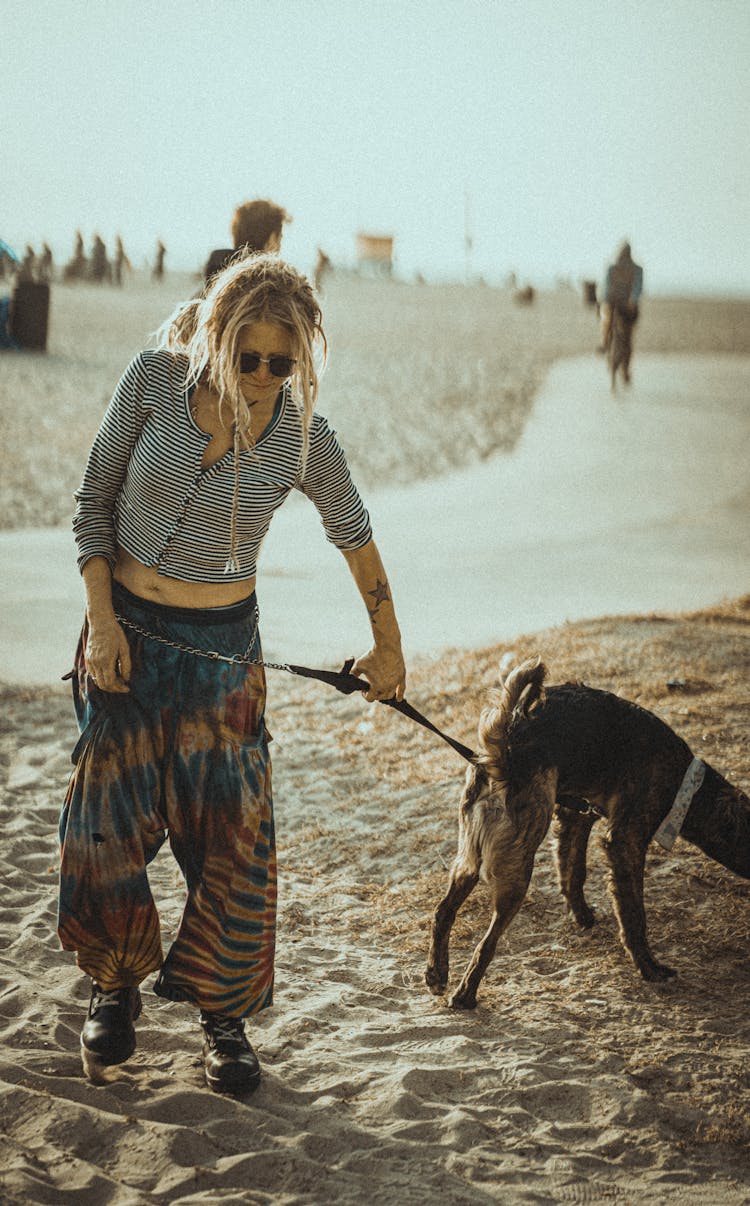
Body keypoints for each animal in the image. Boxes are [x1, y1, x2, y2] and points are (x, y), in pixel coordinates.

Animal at [426, 660, 747, 1008]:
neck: (686, 782)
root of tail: (505, 752)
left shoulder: (575, 817)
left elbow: (572, 872)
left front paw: (582, 917)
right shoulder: (624, 841)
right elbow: (634, 913)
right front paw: (648, 967)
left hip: (469, 859)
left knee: (443, 911)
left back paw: (437, 974)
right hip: (516, 868)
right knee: (487, 942)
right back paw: (465, 994)